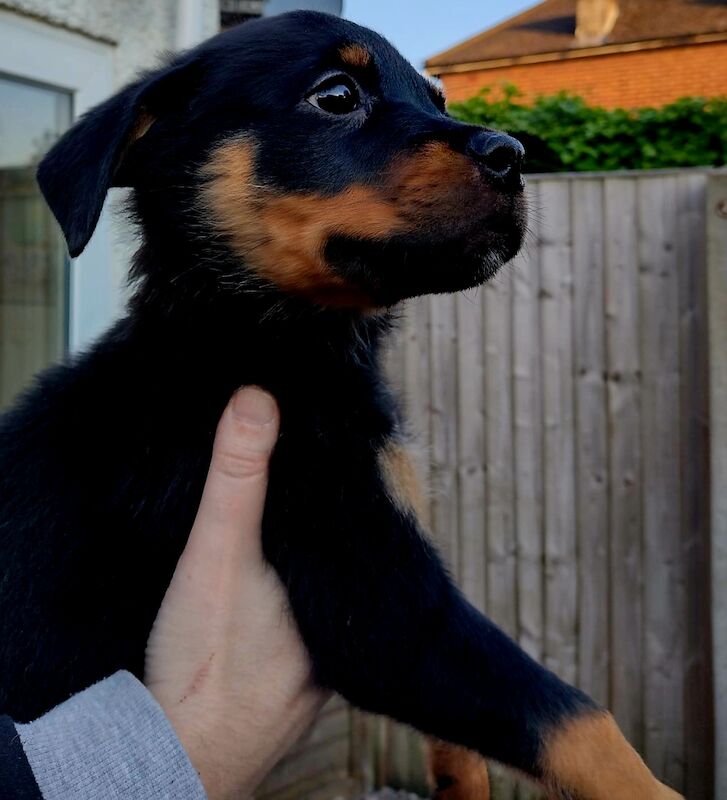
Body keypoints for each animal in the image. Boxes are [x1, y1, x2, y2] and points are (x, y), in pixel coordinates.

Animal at [1, 12, 684, 800]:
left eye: (438, 99)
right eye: (336, 96)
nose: (514, 155)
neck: (253, 341)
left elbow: (473, 743)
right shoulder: (374, 597)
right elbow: (574, 719)